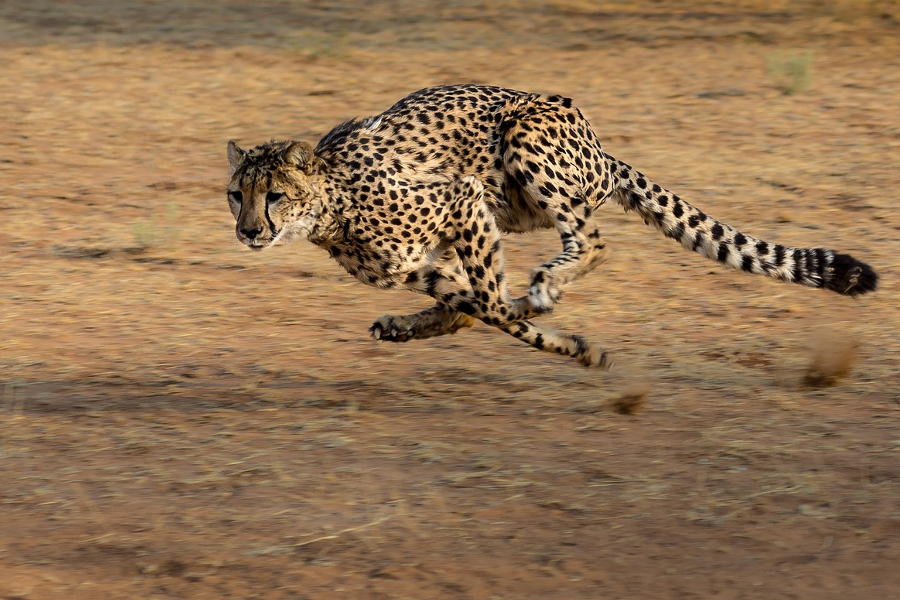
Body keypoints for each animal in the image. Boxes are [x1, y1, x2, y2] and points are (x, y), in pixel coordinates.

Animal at [227, 83, 880, 366]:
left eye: (275, 195)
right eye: (237, 195)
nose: (249, 231)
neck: (331, 206)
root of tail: (601, 147)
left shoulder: (462, 199)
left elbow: (491, 305)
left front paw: (567, 340)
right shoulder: (419, 264)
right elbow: (474, 306)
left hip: (524, 143)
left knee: (591, 240)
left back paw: (545, 286)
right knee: (475, 301)